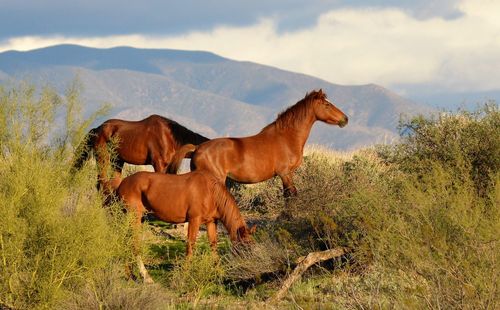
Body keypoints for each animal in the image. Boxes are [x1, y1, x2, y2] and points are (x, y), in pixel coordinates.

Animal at [72, 114, 209, 189]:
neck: (169, 137)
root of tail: (97, 129)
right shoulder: (159, 164)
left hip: (117, 161)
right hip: (103, 158)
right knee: (101, 183)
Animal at [115, 170, 256, 284]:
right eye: (244, 246)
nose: (251, 269)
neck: (210, 191)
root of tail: (122, 183)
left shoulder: (211, 222)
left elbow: (213, 246)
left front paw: (219, 274)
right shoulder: (194, 220)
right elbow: (190, 246)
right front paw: (184, 275)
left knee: (126, 241)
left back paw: (131, 276)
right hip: (134, 217)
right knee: (133, 242)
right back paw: (145, 277)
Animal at [168, 89, 348, 199]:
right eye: (327, 104)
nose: (345, 119)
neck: (286, 138)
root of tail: (197, 148)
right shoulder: (285, 174)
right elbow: (290, 197)